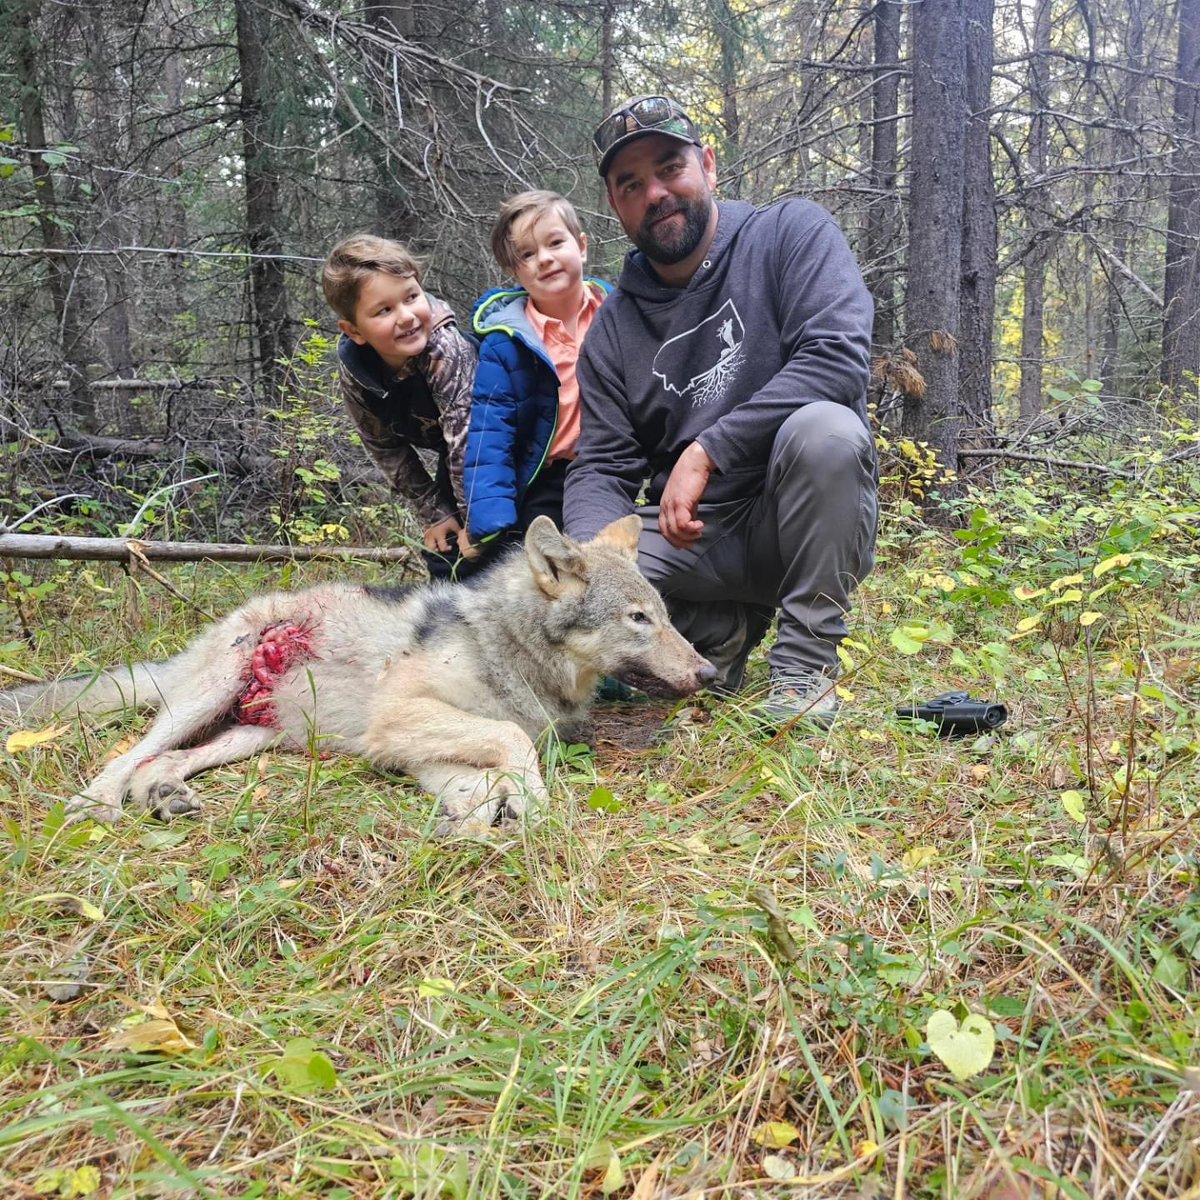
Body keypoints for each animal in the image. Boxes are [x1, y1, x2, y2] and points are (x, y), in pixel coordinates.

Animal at [0, 517, 716, 833]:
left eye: (664, 615)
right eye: (639, 619)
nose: (709, 671)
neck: (505, 646)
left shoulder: (406, 743)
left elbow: (478, 777)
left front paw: (479, 811)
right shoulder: (397, 720)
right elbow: (510, 745)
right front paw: (529, 803)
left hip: (257, 734)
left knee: (164, 762)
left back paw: (165, 795)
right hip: (207, 697)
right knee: (130, 753)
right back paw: (96, 805)